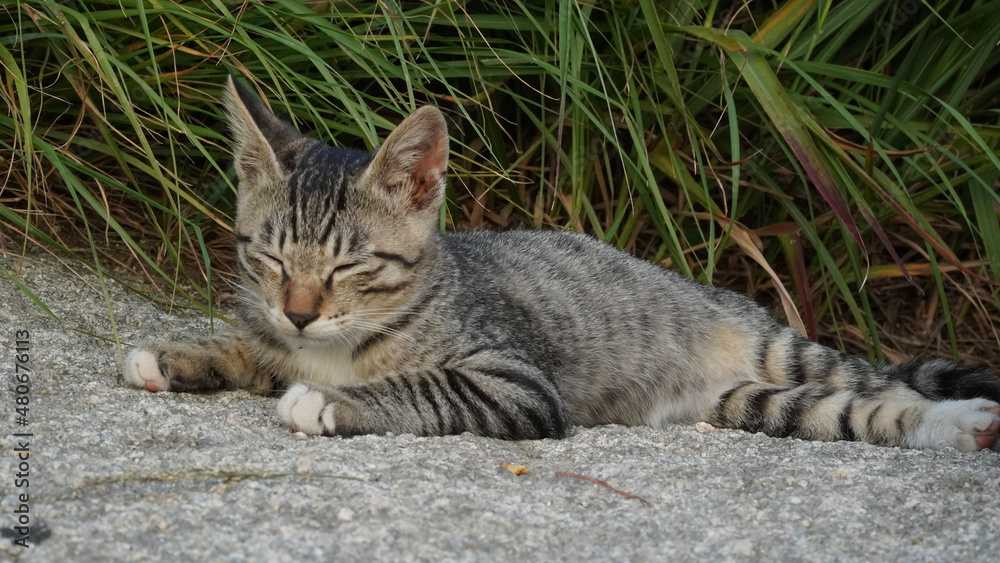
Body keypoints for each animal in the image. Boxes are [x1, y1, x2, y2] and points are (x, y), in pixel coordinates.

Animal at [123, 76, 1000, 454]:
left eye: (351, 266)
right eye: (269, 256)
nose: (301, 310)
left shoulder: (515, 382)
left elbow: (418, 384)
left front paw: (329, 401)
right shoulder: (275, 331)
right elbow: (250, 347)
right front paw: (177, 352)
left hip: (786, 348)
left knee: (883, 384)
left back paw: (963, 417)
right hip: (750, 403)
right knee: (855, 410)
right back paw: (955, 426)